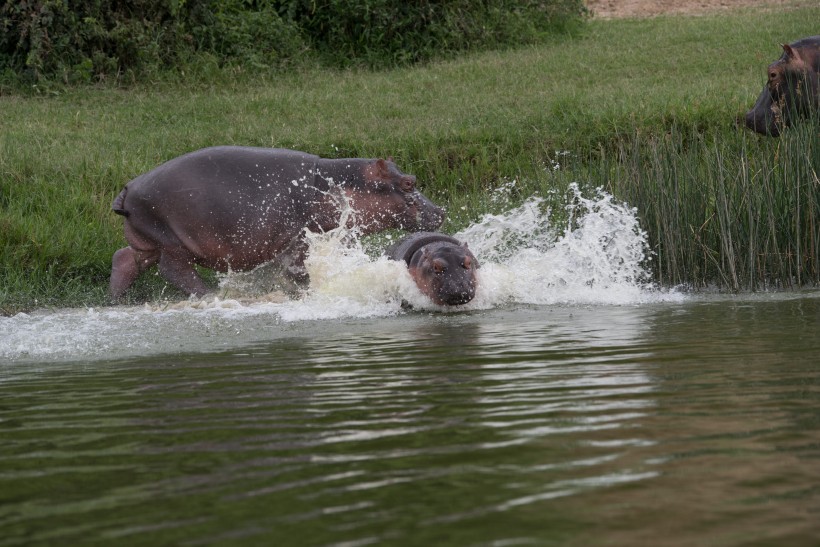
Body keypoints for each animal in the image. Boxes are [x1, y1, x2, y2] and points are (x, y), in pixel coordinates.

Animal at [109, 146, 446, 300]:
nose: (441, 211)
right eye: (408, 182)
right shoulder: (300, 239)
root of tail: (128, 187)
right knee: (174, 270)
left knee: (124, 259)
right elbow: (298, 271)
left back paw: (116, 300)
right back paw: (211, 295)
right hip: (171, 241)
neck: (337, 182)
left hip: (148, 240)